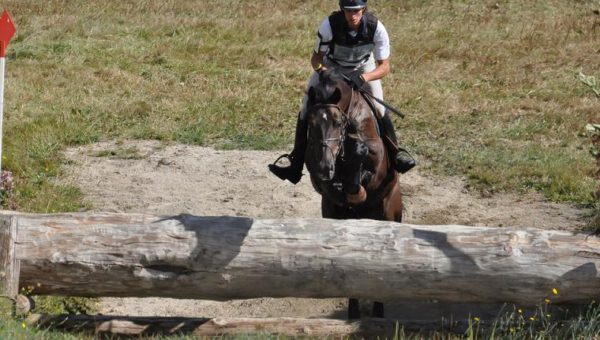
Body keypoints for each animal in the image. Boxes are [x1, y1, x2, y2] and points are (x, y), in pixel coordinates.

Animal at [304, 68, 404, 318]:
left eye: (338, 122)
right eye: (310, 122)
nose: (325, 167)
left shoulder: (377, 166)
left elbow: (363, 159)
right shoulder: (316, 172)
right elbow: (331, 186)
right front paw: (344, 188)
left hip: (389, 212)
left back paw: (378, 313)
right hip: (331, 214)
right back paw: (354, 312)